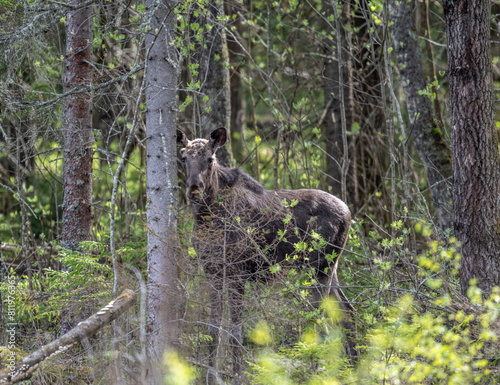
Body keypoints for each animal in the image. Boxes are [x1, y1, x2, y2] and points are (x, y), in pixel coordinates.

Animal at [177, 127, 356, 380]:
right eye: (184, 158)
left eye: (210, 159)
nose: (194, 189)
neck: (206, 217)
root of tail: (348, 213)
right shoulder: (211, 270)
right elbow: (213, 331)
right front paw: (210, 377)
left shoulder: (237, 270)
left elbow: (235, 332)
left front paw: (238, 377)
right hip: (333, 268)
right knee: (348, 313)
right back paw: (355, 367)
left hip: (319, 269)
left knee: (323, 320)